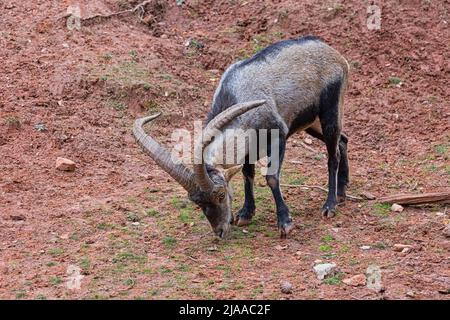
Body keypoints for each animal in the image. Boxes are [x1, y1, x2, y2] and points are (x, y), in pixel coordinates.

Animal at [134, 36, 352, 239]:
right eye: (197, 202)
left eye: (221, 195)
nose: (220, 231)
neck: (235, 95)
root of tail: (338, 58)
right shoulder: (249, 147)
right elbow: (247, 174)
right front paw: (246, 214)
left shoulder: (278, 137)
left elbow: (272, 178)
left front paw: (285, 223)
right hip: (311, 124)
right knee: (343, 140)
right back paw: (342, 191)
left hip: (330, 112)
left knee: (333, 156)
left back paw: (330, 205)